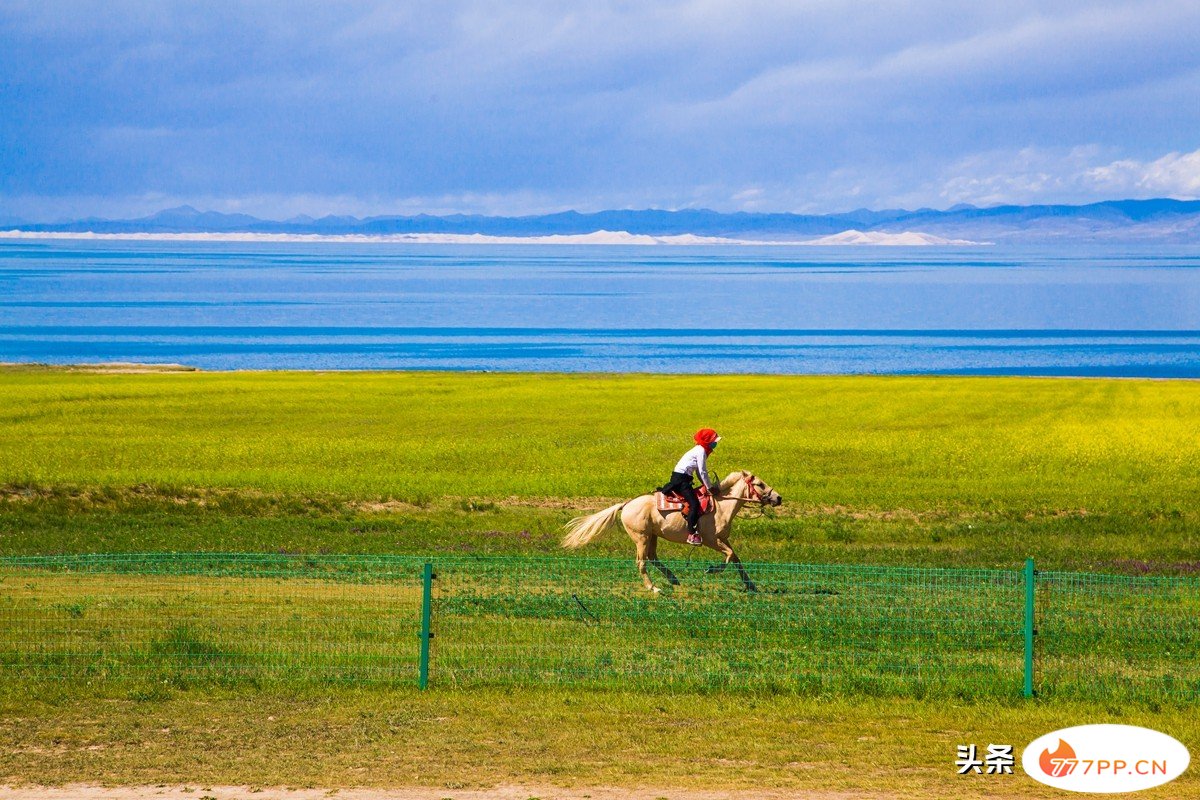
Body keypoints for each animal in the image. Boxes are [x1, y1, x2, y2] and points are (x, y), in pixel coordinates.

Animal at [564, 470, 787, 594]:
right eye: (760, 484)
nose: (778, 498)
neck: (722, 505)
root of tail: (626, 504)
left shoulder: (723, 539)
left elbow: (736, 559)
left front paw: (751, 585)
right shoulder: (711, 540)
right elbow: (730, 556)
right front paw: (711, 569)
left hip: (652, 536)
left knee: (652, 557)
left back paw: (673, 579)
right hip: (641, 537)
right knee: (641, 562)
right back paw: (654, 588)